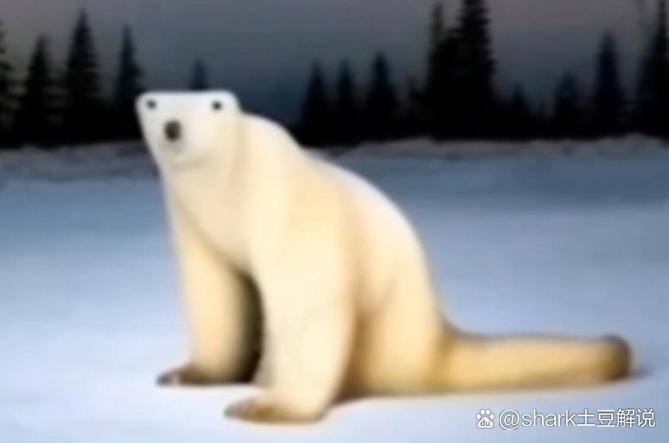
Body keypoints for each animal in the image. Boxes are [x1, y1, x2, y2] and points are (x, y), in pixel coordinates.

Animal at [136, 91, 631, 424]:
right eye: (153, 103)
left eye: (213, 105)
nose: (173, 128)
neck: (226, 188)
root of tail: (433, 338)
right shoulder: (195, 223)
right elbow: (218, 291)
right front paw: (186, 374)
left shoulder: (284, 201)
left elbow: (309, 299)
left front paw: (266, 404)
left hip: (384, 336)